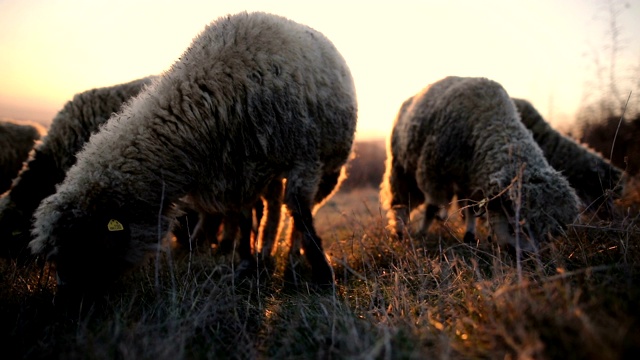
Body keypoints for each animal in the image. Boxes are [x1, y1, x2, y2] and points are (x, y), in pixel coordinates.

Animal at [28, 11, 356, 292]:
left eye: (82, 243)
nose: (66, 296)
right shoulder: (238, 172)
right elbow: (244, 217)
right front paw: (245, 263)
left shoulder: (303, 158)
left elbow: (300, 211)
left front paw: (323, 275)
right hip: (269, 173)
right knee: (272, 207)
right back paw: (267, 252)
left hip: (329, 166)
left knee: (305, 209)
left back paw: (293, 253)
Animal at [380, 76, 580, 250]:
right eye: (517, 225)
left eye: (549, 236)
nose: (527, 256)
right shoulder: (434, 174)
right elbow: (433, 207)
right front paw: (421, 233)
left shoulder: (473, 182)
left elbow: (471, 209)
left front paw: (469, 237)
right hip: (402, 167)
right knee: (402, 202)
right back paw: (399, 232)